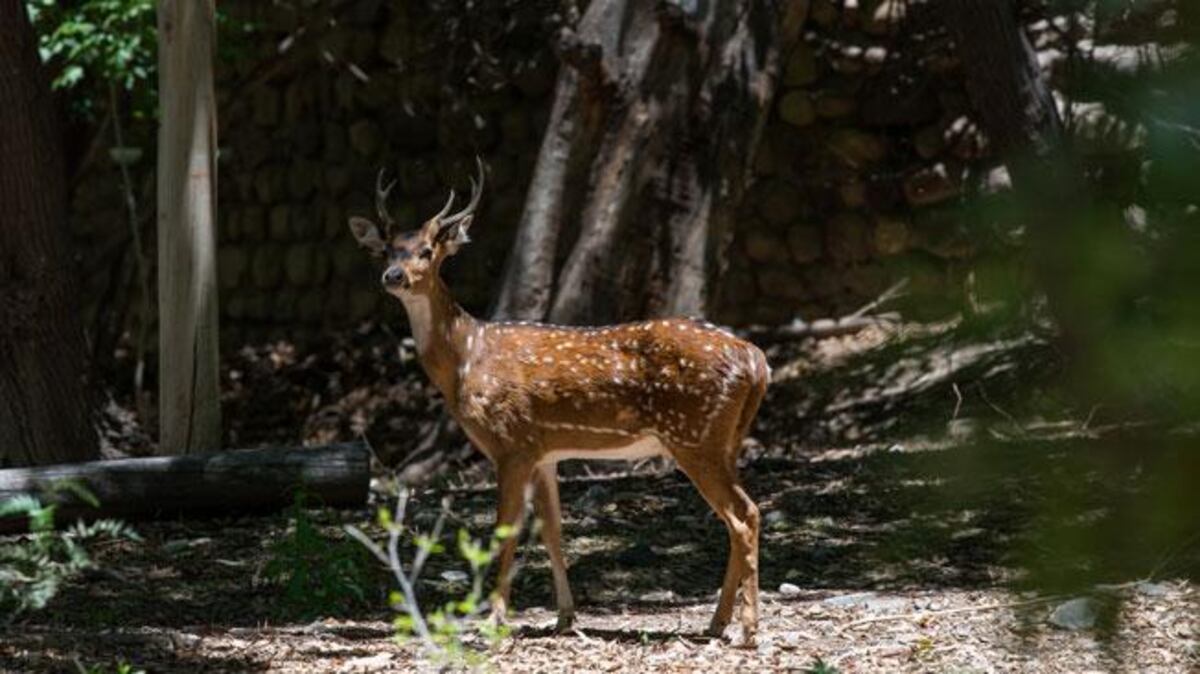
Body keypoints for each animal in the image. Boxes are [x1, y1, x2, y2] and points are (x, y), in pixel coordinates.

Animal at [348, 159, 769, 643]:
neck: (467, 357)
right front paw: (565, 616)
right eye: (387, 251)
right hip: (725, 439)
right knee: (739, 516)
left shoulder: (511, 443)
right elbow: (552, 530)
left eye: (426, 250)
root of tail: (757, 360)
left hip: (694, 435)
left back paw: (747, 629)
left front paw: (495, 620)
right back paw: (717, 621)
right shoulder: (544, 451)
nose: (394, 277)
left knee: (744, 515)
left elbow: (506, 532)